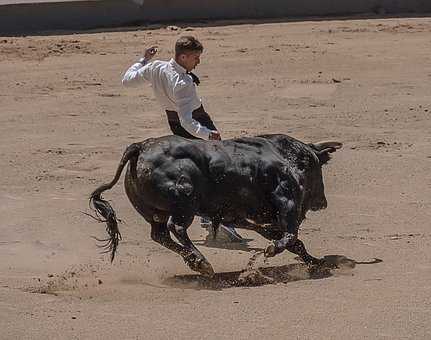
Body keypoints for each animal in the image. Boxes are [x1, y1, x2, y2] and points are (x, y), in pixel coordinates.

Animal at [89, 133, 342, 276]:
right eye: (317, 167)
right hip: (185, 205)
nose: (322, 202)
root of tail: (141, 146)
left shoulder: (240, 216)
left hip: (154, 214)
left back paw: (195, 262)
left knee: (159, 234)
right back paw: (201, 262)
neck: (286, 158)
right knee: (176, 227)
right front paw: (270, 251)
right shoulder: (287, 204)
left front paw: (316, 263)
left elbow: (290, 240)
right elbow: (289, 236)